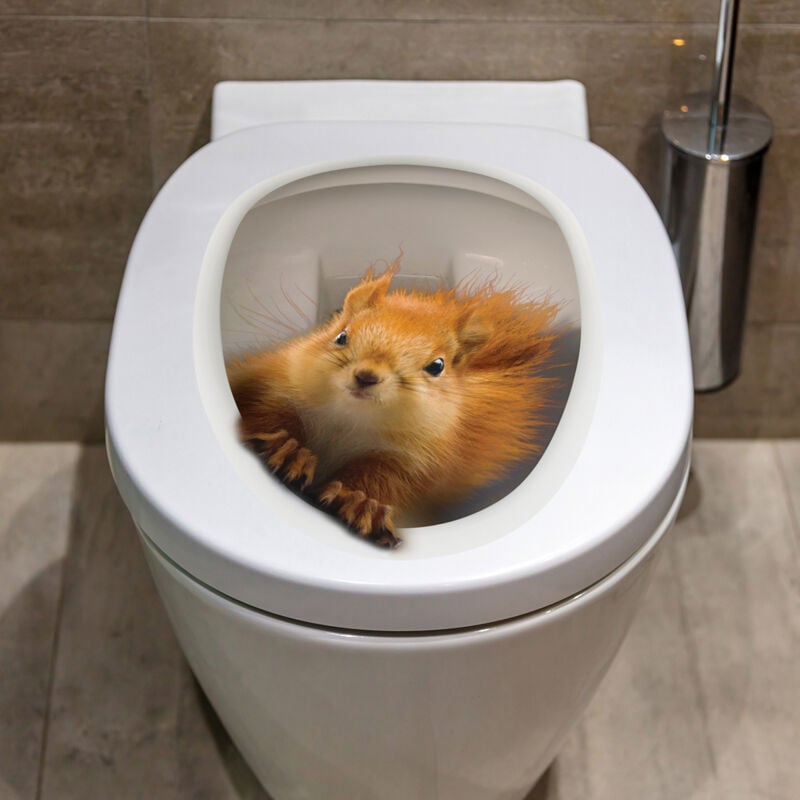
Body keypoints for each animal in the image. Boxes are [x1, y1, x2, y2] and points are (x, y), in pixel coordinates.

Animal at [227, 262, 562, 548]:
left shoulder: (414, 460)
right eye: (341, 336)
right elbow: (266, 414)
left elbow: (387, 479)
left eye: (437, 366)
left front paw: (360, 502)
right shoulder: (273, 385)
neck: (349, 420)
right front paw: (290, 451)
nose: (366, 376)